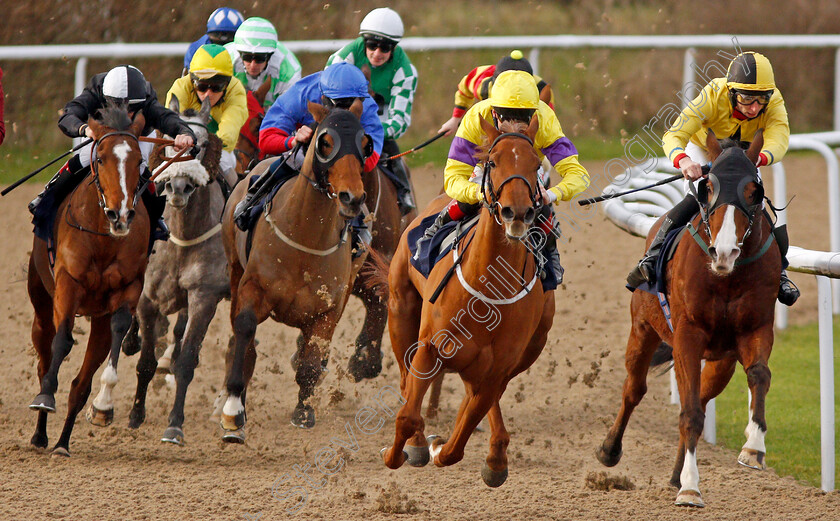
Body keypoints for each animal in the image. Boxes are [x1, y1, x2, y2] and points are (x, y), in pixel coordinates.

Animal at [27, 105, 152, 456]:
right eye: (102, 158)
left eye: (139, 160)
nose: (120, 214)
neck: (103, 237)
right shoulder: (68, 283)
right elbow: (63, 339)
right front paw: (45, 397)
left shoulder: (128, 288)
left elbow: (120, 328)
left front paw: (104, 405)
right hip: (41, 299)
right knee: (45, 354)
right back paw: (40, 434)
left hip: (98, 320)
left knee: (80, 385)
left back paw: (62, 443)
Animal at [220, 98, 370, 438]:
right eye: (325, 142)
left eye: (365, 144)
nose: (352, 198)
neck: (305, 238)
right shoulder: (252, 289)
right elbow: (244, 332)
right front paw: (234, 408)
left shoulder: (327, 309)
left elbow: (310, 362)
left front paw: (303, 411)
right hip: (233, 267)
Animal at [378, 115, 552, 488]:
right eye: (493, 161)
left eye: (535, 164)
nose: (517, 212)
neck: (489, 289)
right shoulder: (430, 345)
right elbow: (407, 415)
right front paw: (406, 450)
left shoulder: (498, 367)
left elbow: (463, 432)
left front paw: (442, 449)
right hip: (400, 310)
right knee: (405, 380)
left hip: (528, 348)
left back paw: (495, 454)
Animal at [596, 132, 780, 506]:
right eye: (707, 187)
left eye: (753, 191)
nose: (724, 252)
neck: (725, 277)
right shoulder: (687, 336)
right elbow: (690, 412)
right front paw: (691, 488)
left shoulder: (755, 327)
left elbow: (759, 375)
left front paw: (754, 448)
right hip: (643, 330)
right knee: (634, 389)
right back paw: (610, 449)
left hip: (720, 361)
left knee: (703, 397)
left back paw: (676, 473)